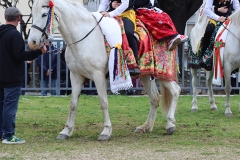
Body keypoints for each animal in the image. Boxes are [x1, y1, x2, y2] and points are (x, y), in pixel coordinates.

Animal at [27, 0, 180, 140]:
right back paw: (145, 127)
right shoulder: (75, 76)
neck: (84, 37)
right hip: (146, 75)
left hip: (162, 73)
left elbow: (103, 102)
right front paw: (66, 131)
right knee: (155, 98)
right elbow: (73, 104)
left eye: (44, 14)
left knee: (175, 91)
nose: (32, 42)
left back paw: (170, 124)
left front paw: (106, 131)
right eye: (32, 15)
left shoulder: (98, 76)